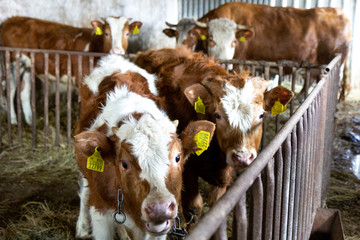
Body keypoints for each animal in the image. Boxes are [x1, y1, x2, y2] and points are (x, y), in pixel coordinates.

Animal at [0, 16, 142, 125]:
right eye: (107, 34)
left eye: (127, 34)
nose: (117, 51)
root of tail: (10, 20)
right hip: (13, 62)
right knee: (10, 89)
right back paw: (13, 120)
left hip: (27, 66)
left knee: (24, 91)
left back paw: (30, 120)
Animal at [73, 53, 214, 240]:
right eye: (124, 163)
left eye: (178, 157)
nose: (159, 208)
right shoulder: (100, 213)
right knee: (84, 191)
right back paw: (82, 228)